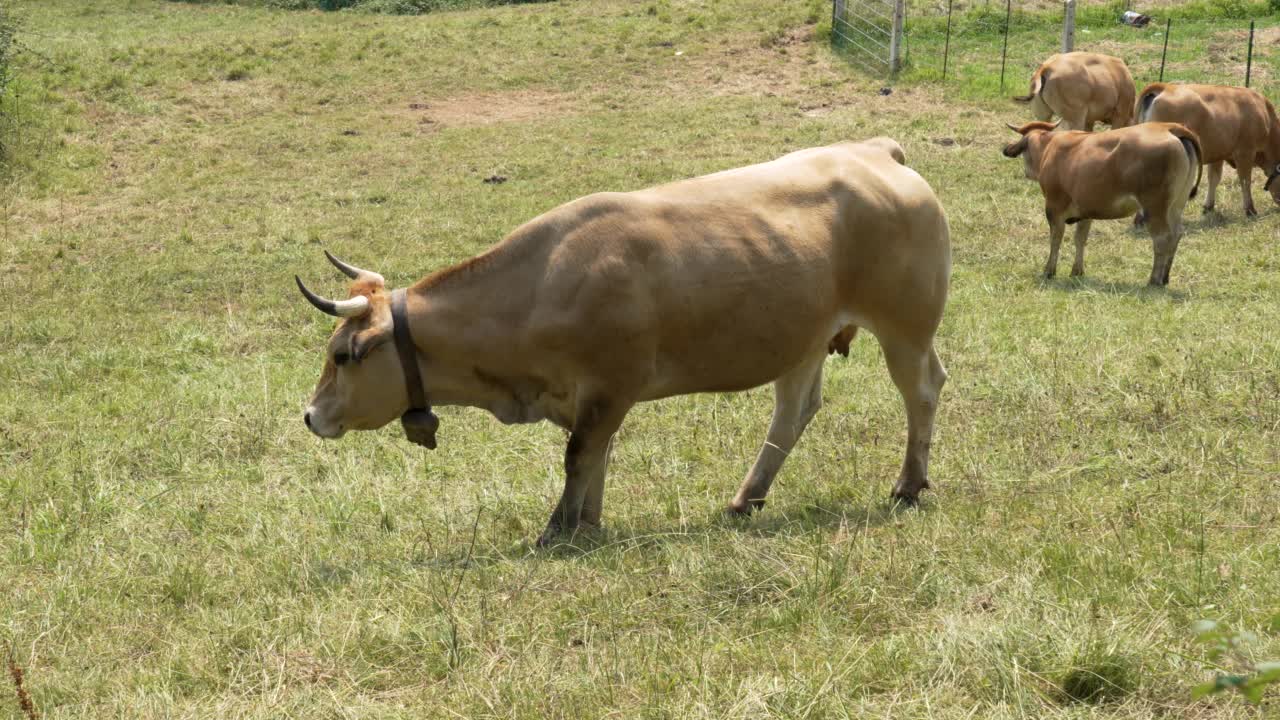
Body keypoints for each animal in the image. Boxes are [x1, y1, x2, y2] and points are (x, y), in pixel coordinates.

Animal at [293, 139, 952, 543]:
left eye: (343, 356)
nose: (309, 415)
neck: (542, 283)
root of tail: (872, 151)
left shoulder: (611, 386)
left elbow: (579, 455)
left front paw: (558, 529)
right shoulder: (590, 397)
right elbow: (596, 456)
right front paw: (587, 524)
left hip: (906, 329)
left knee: (921, 392)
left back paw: (909, 484)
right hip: (804, 338)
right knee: (793, 413)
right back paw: (748, 497)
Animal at [1003, 119, 1203, 283]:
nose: (1007, 149)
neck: (1050, 148)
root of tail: (1168, 127)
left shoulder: (1054, 209)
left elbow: (1056, 239)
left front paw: (1049, 271)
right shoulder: (1085, 212)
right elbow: (1080, 239)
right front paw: (1077, 271)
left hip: (1155, 208)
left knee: (1163, 238)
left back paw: (1154, 279)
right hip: (1175, 206)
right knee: (1176, 235)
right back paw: (1165, 277)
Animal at [1136, 81, 1280, 215]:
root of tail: (1166, 87)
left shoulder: (1218, 153)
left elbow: (1214, 178)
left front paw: (1208, 206)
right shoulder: (1245, 152)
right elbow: (1245, 180)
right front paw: (1250, 209)